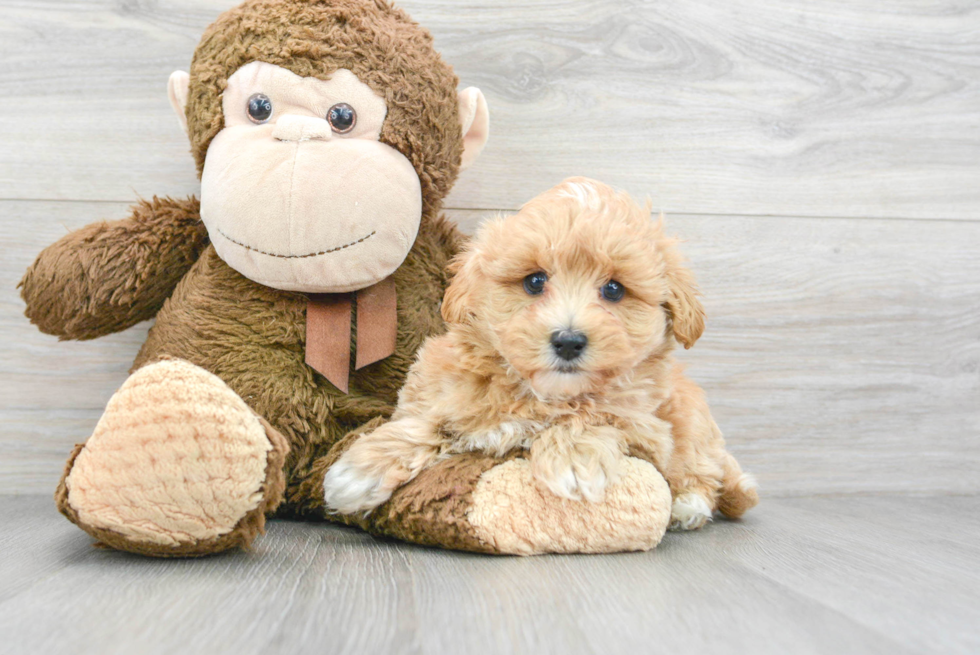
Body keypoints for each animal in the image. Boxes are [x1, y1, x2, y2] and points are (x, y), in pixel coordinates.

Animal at [322, 177, 756, 532]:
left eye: (614, 289)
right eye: (534, 281)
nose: (568, 341)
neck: (536, 392)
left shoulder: (646, 425)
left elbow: (591, 414)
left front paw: (573, 459)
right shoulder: (441, 390)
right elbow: (425, 423)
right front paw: (361, 471)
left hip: (693, 427)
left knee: (706, 473)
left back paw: (688, 506)